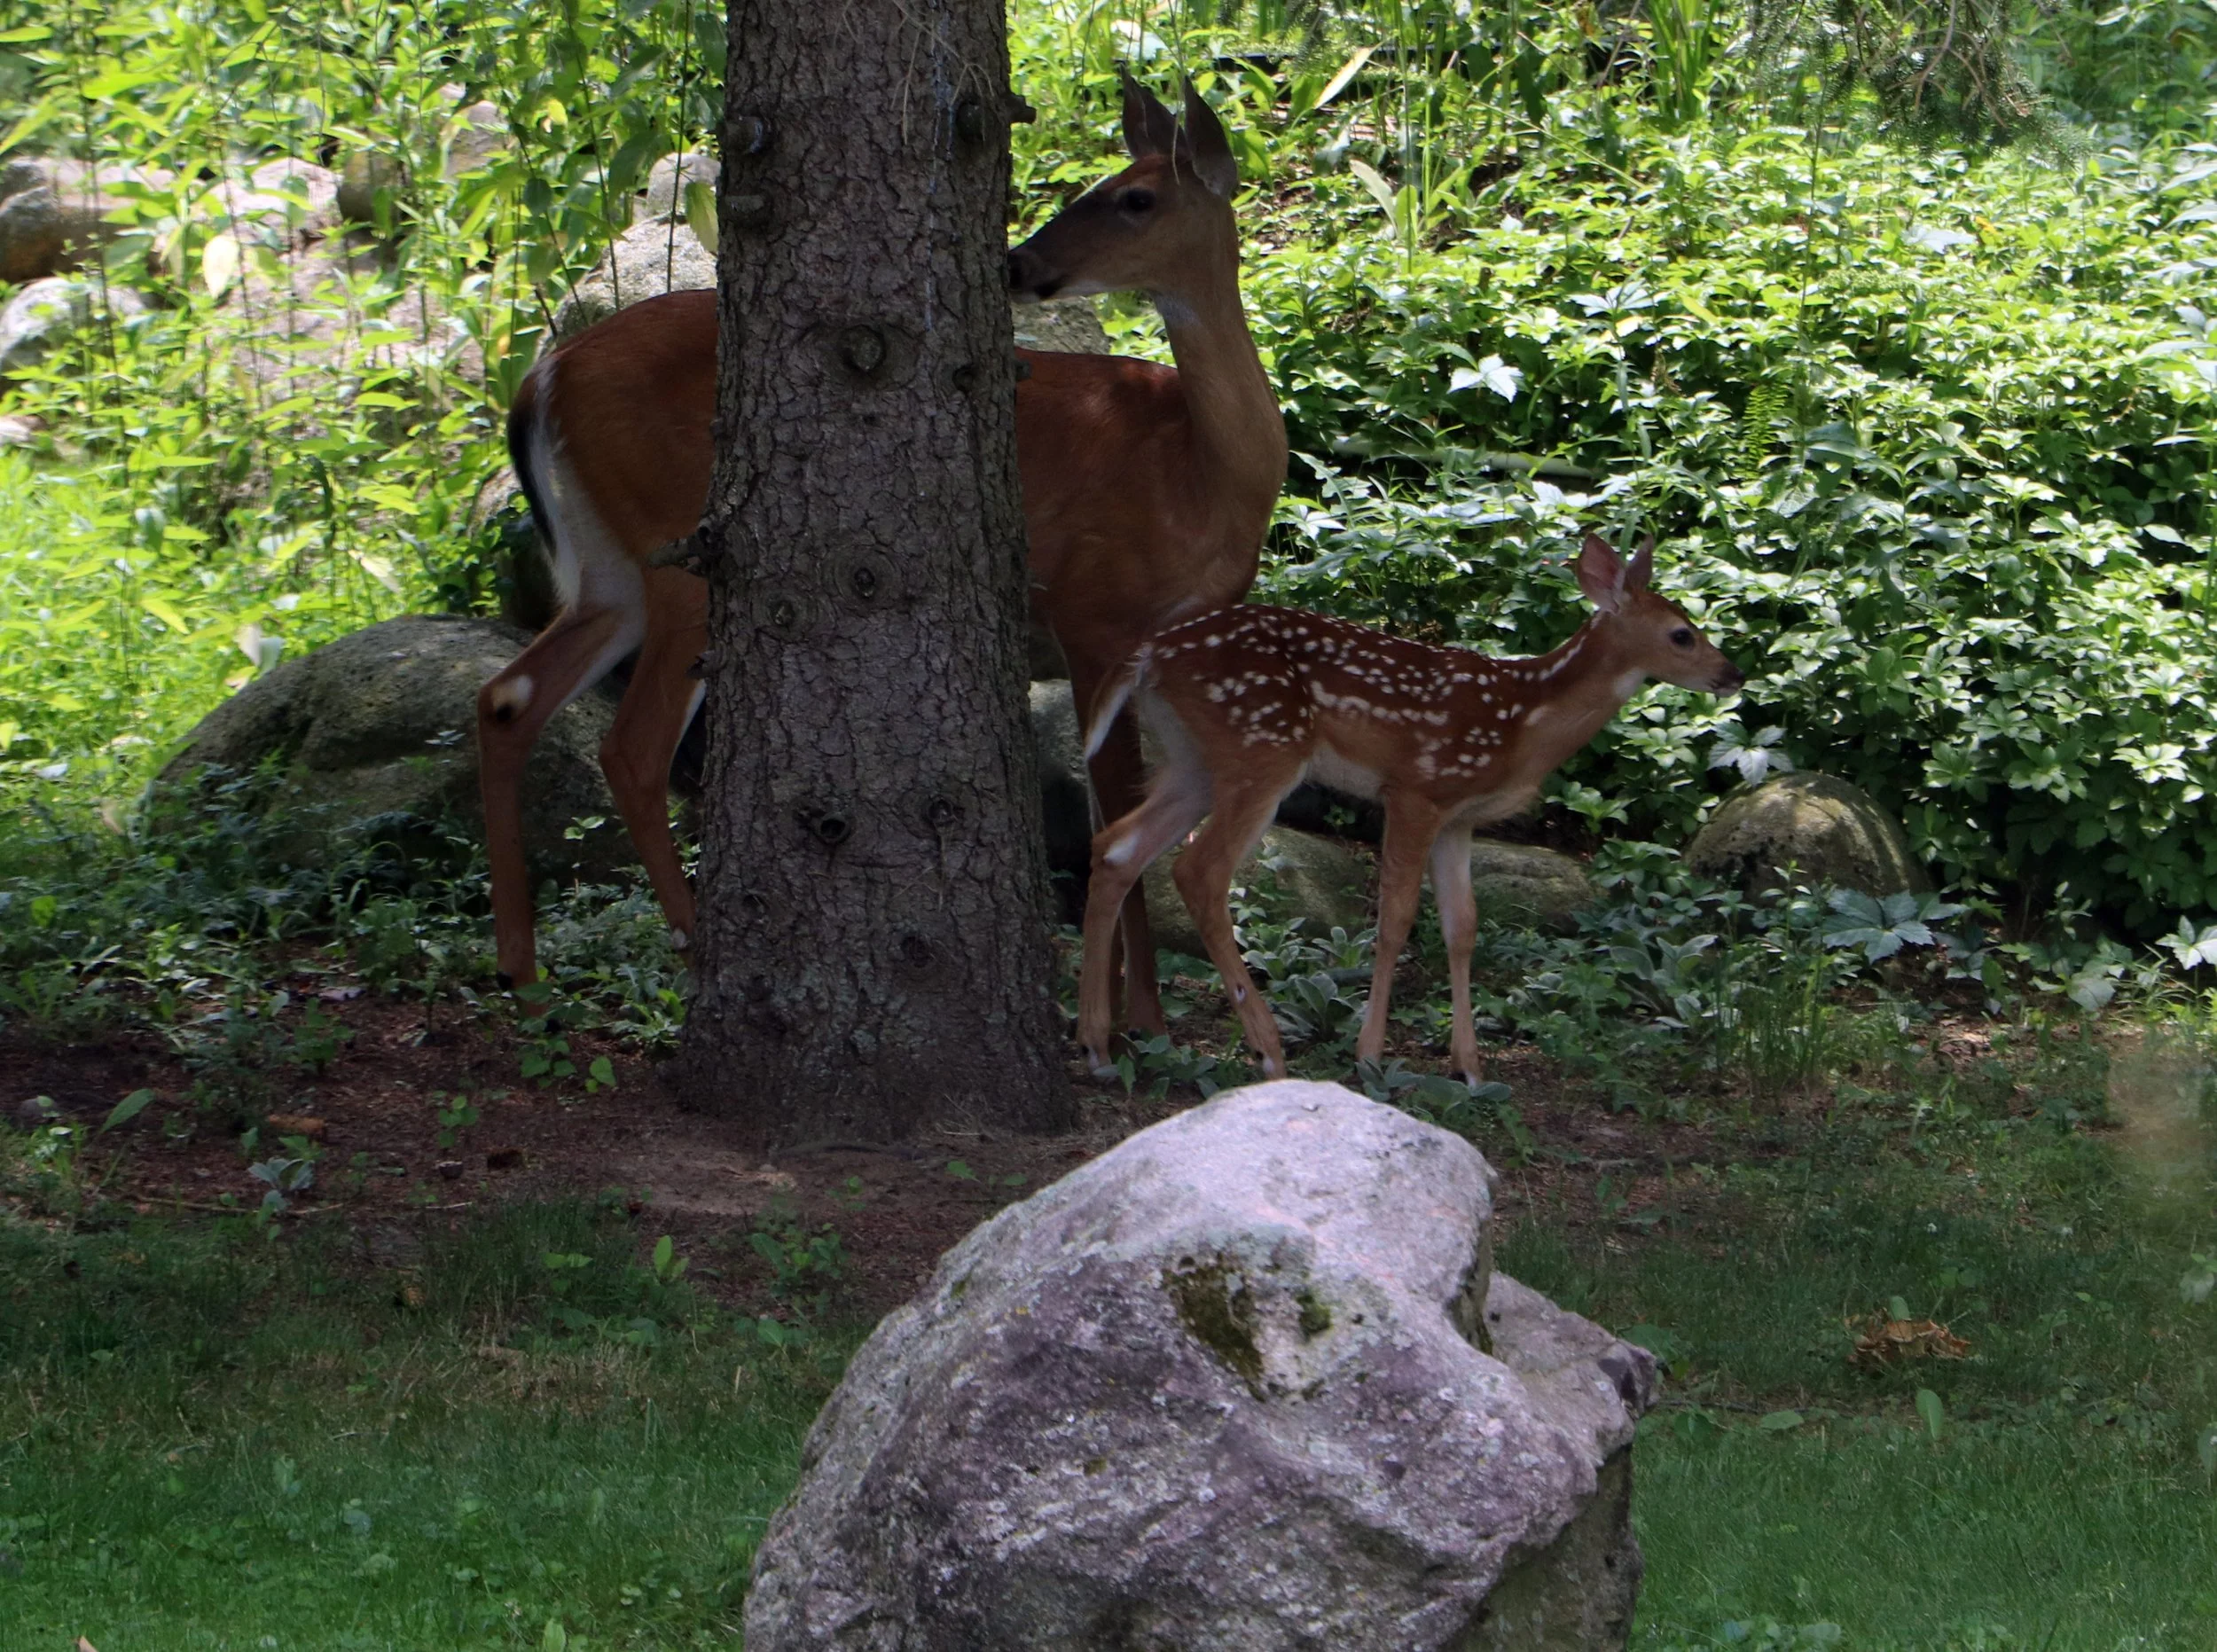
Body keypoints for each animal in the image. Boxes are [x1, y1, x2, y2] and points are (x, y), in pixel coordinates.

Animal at [477, 71, 1286, 1007]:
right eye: (1111, 188)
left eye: (1135, 197)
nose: (1019, 264)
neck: (1203, 474)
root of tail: (543, 376)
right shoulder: (1095, 615)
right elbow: (1116, 816)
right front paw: (1139, 1017)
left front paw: (1122, 1007)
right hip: (685, 548)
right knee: (631, 747)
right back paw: (686, 944)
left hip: (610, 563)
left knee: (509, 695)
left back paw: (519, 963)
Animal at [1074, 534, 1745, 1084]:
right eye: (1682, 633)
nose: (1733, 674)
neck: (1522, 722)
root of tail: (1150, 653)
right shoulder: (1417, 790)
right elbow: (1396, 919)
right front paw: (1370, 1054)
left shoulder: (1460, 817)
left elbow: (1462, 926)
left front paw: (1469, 1066)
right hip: (1261, 748)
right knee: (1199, 870)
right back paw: (1267, 1049)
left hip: (1194, 761)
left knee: (1116, 847)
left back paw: (1096, 1044)